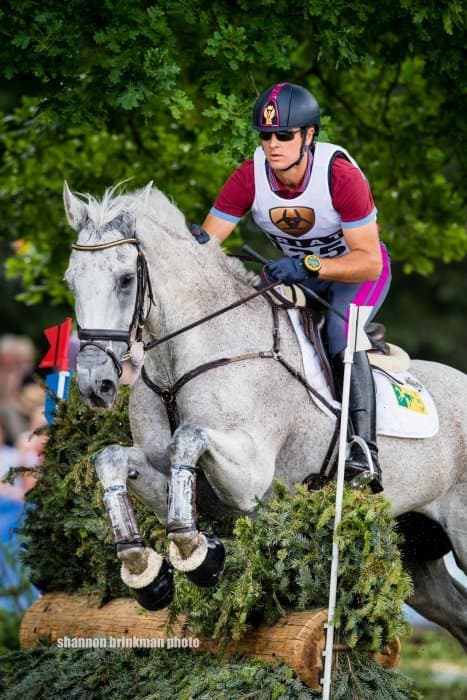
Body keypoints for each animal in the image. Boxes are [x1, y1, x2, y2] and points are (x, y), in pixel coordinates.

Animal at [63, 181, 467, 648]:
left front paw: (197, 554)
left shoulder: (250, 477)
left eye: (126, 279)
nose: (96, 385)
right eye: (71, 281)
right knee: (458, 612)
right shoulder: (163, 468)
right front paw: (145, 570)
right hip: (417, 553)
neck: (177, 360)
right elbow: (111, 459)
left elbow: (188, 437)